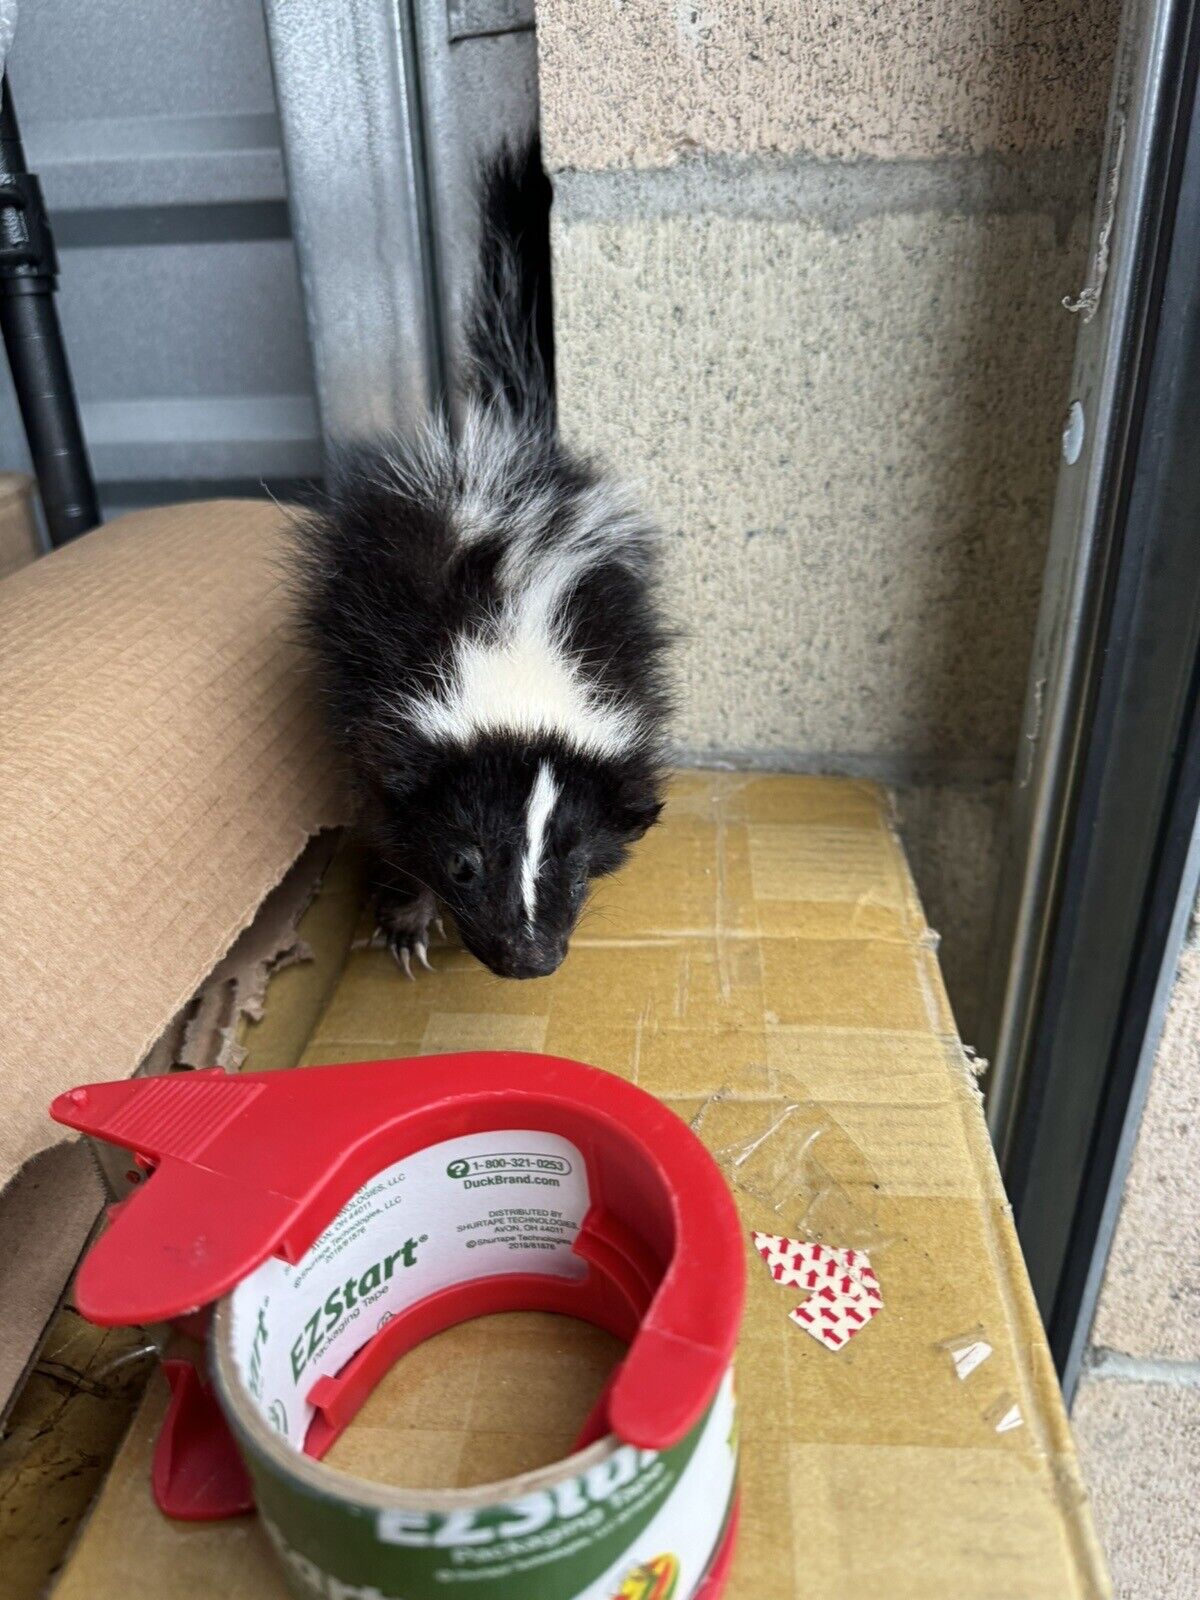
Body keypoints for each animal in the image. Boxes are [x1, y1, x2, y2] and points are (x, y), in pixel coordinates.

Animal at [288, 137, 672, 972]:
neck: (510, 632)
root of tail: (504, 448)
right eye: (463, 861)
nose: (528, 956)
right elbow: (389, 818)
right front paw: (407, 919)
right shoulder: (383, 711)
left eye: (578, 862)